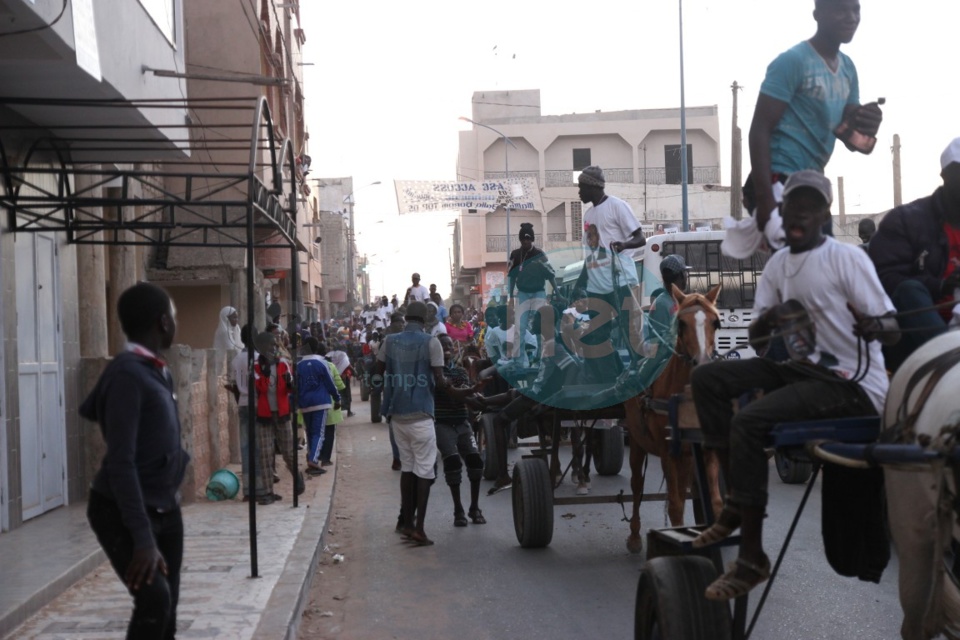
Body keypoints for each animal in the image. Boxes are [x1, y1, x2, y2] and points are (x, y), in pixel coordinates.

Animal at [624, 284, 720, 556]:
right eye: (682, 323)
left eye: (716, 322)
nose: (702, 362)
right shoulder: (668, 452)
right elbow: (676, 505)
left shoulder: (707, 451)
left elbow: (715, 503)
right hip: (637, 441)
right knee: (636, 485)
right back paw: (634, 535)